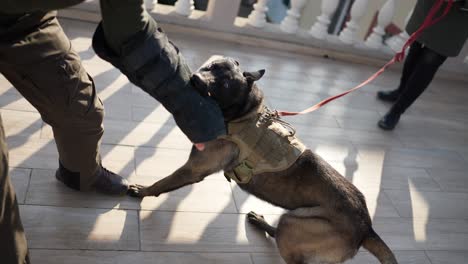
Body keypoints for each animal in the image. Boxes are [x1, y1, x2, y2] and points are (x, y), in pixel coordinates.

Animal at [129, 56, 398, 262]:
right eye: (210, 67)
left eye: (225, 86)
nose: (194, 79)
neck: (242, 112)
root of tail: (366, 229)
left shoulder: (193, 169)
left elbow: (162, 183)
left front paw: (141, 190)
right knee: (279, 234)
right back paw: (261, 223)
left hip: (294, 222)